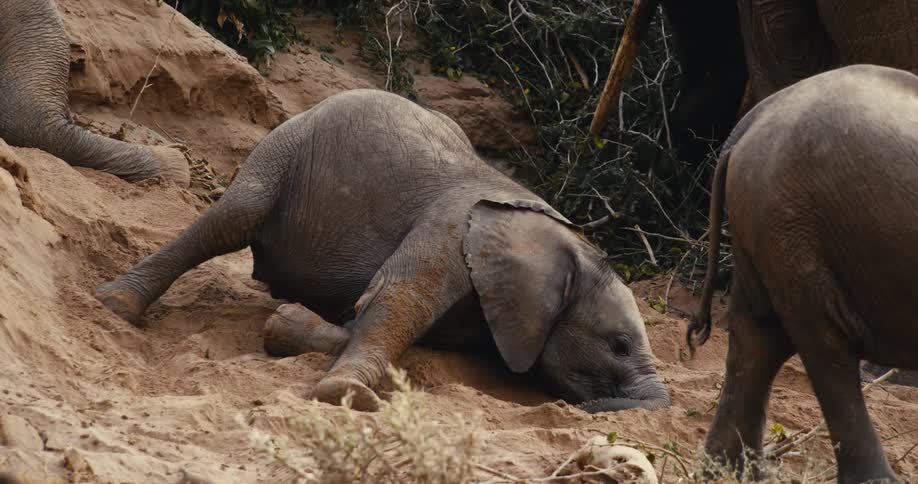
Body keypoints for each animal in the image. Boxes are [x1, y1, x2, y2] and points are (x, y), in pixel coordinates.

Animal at [94, 88, 671, 413]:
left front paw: (288, 327)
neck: (570, 240)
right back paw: (113, 306)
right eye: (619, 345)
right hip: (286, 147)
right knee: (230, 220)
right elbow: (397, 300)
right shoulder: (447, 228)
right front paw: (343, 397)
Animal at [689, 65, 918, 483]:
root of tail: (747, 124)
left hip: (767, 225)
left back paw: (725, 471)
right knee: (826, 347)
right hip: (796, 226)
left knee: (757, 335)